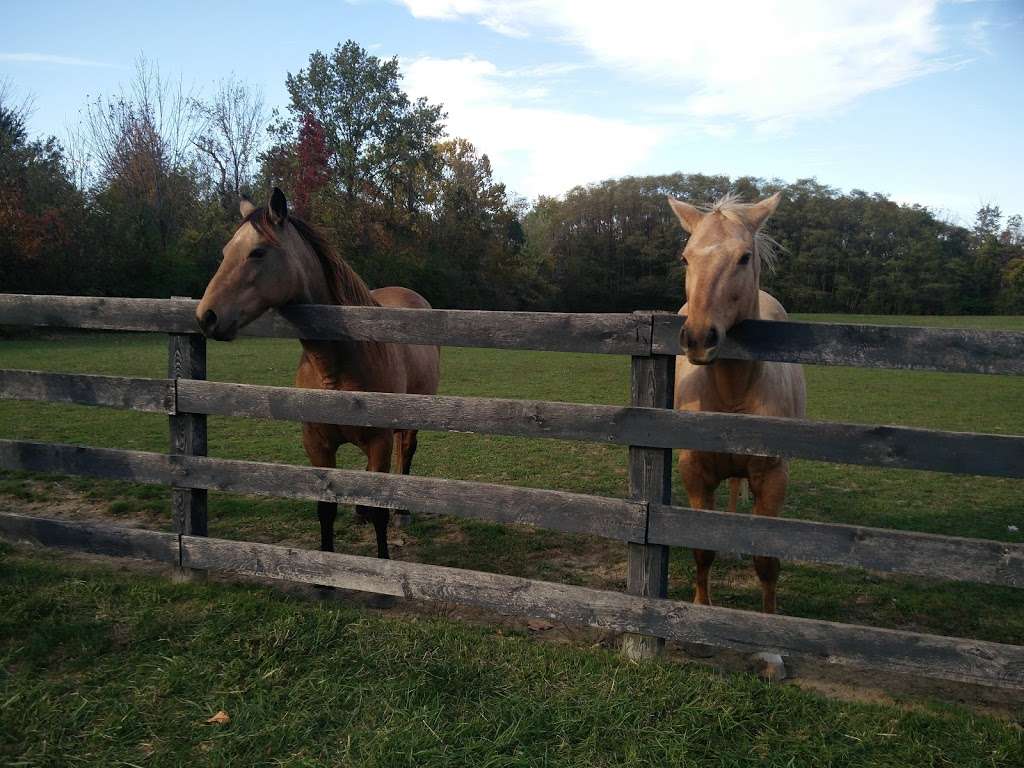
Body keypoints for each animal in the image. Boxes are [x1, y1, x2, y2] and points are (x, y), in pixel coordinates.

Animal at [195, 186, 440, 561]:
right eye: (225, 253)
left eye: (257, 252)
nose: (206, 316)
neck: (339, 365)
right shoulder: (316, 444)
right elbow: (326, 508)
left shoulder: (380, 441)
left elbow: (380, 510)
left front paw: (384, 562)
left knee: (406, 454)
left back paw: (402, 513)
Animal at [671, 195, 806, 618]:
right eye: (686, 258)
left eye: (744, 257)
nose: (699, 338)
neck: (732, 392)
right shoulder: (695, 471)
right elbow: (702, 550)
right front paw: (702, 604)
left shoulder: (774, 477)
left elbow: (766, 561)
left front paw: (769, 621)